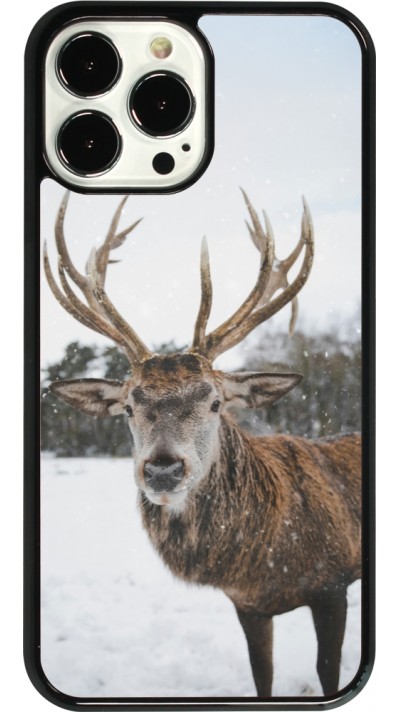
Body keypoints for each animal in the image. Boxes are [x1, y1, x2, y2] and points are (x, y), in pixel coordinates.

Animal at [44, 190, 361, 698]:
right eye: (128, 406)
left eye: (215, 402)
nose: (163, 469)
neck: (265, 562)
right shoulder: (247, 605)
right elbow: (262, 677)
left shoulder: (333, 584)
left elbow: (328, 673)